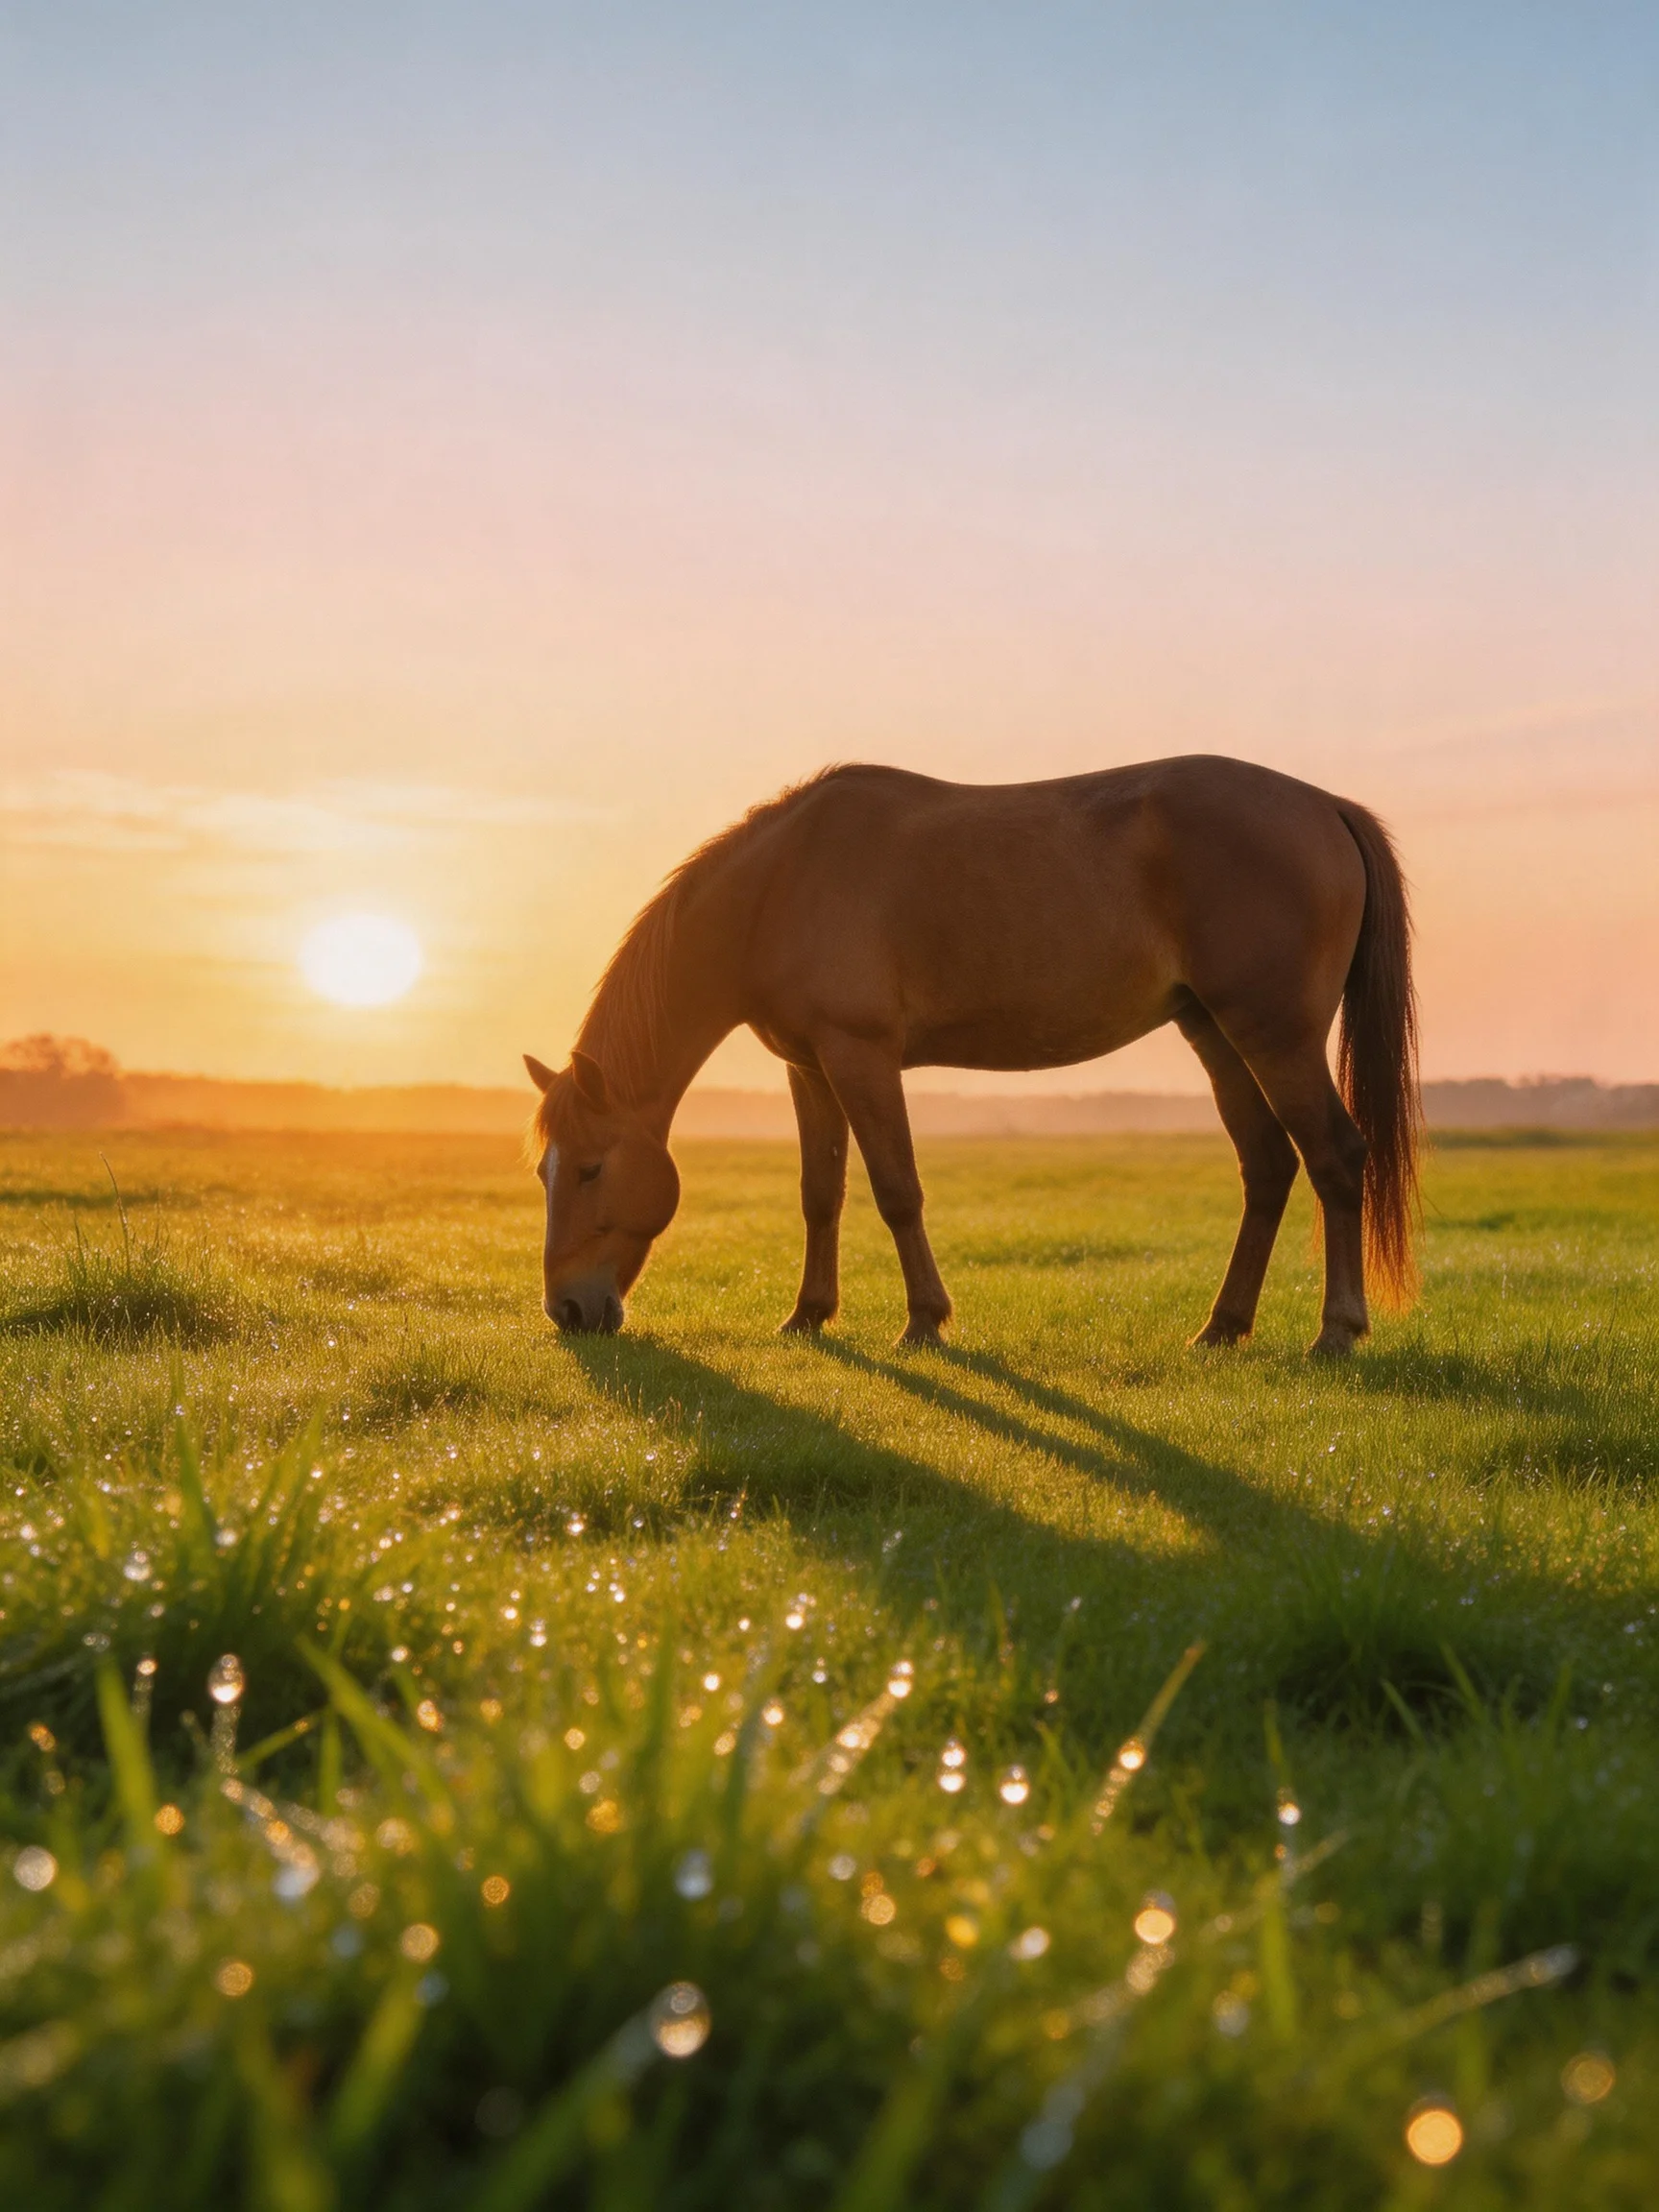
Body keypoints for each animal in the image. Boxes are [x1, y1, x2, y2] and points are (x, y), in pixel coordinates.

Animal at [524, 756, 1419, 1354]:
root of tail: (1325, 806)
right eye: (544, 1170)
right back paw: (1222, 1327)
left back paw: (1337, 1331)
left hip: (1274, 1037)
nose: (566, 1310)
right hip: (1217, 1035)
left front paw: (924, 1321)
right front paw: (808, 1314)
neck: (779, 886)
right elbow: (821, 1195)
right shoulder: (809, 1068)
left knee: (1335, 1158)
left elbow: (896, 1190)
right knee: (1268, 1167)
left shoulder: (860, 1057)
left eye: (592, 1169)